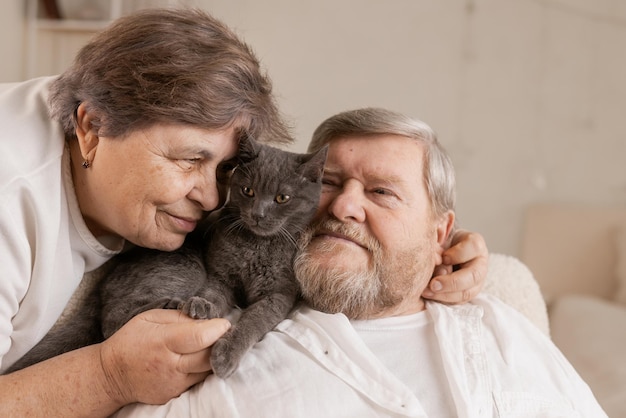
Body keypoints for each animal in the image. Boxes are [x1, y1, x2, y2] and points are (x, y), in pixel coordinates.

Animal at [4, 138, 326, 378]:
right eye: (248, 191)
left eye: (282, 198)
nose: (258, 214)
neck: (256, 246)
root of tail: (108, 276)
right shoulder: (218, 275)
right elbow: (214, 293)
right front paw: (203, 306)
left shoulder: (279, 294)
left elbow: (255, 319)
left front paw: (226, 352)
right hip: (185, 266)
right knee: (111, 322)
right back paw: (168, 304)